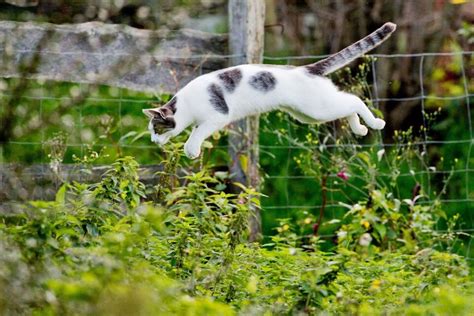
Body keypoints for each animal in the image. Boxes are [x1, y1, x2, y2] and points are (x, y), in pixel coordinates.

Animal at [143, 21, 396, 158]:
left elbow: (195, 134)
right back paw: (360, 129)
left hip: (317, 108)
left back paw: (375, 123)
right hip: (310, 114)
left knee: (354, 100)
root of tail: (307, 68)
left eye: (156, 128)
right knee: (347, 104)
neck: (186, 105)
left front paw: (191, 150)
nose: (153, 141)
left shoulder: (217, 116)